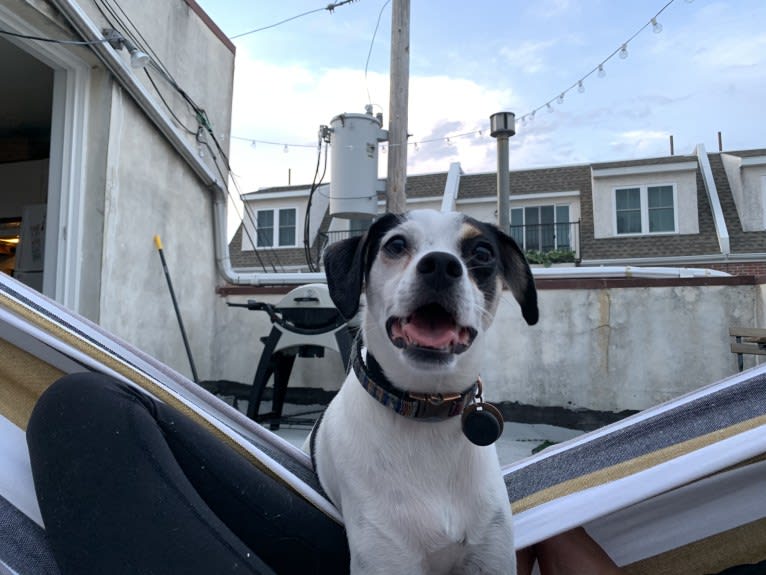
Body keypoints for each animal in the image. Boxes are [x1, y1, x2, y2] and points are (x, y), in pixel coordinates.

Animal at [312, 212, 540, 575]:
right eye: (396, 244)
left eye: (483, 252)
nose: (441, 265)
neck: (427, 412)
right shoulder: (386, 557)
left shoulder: (492, 554)